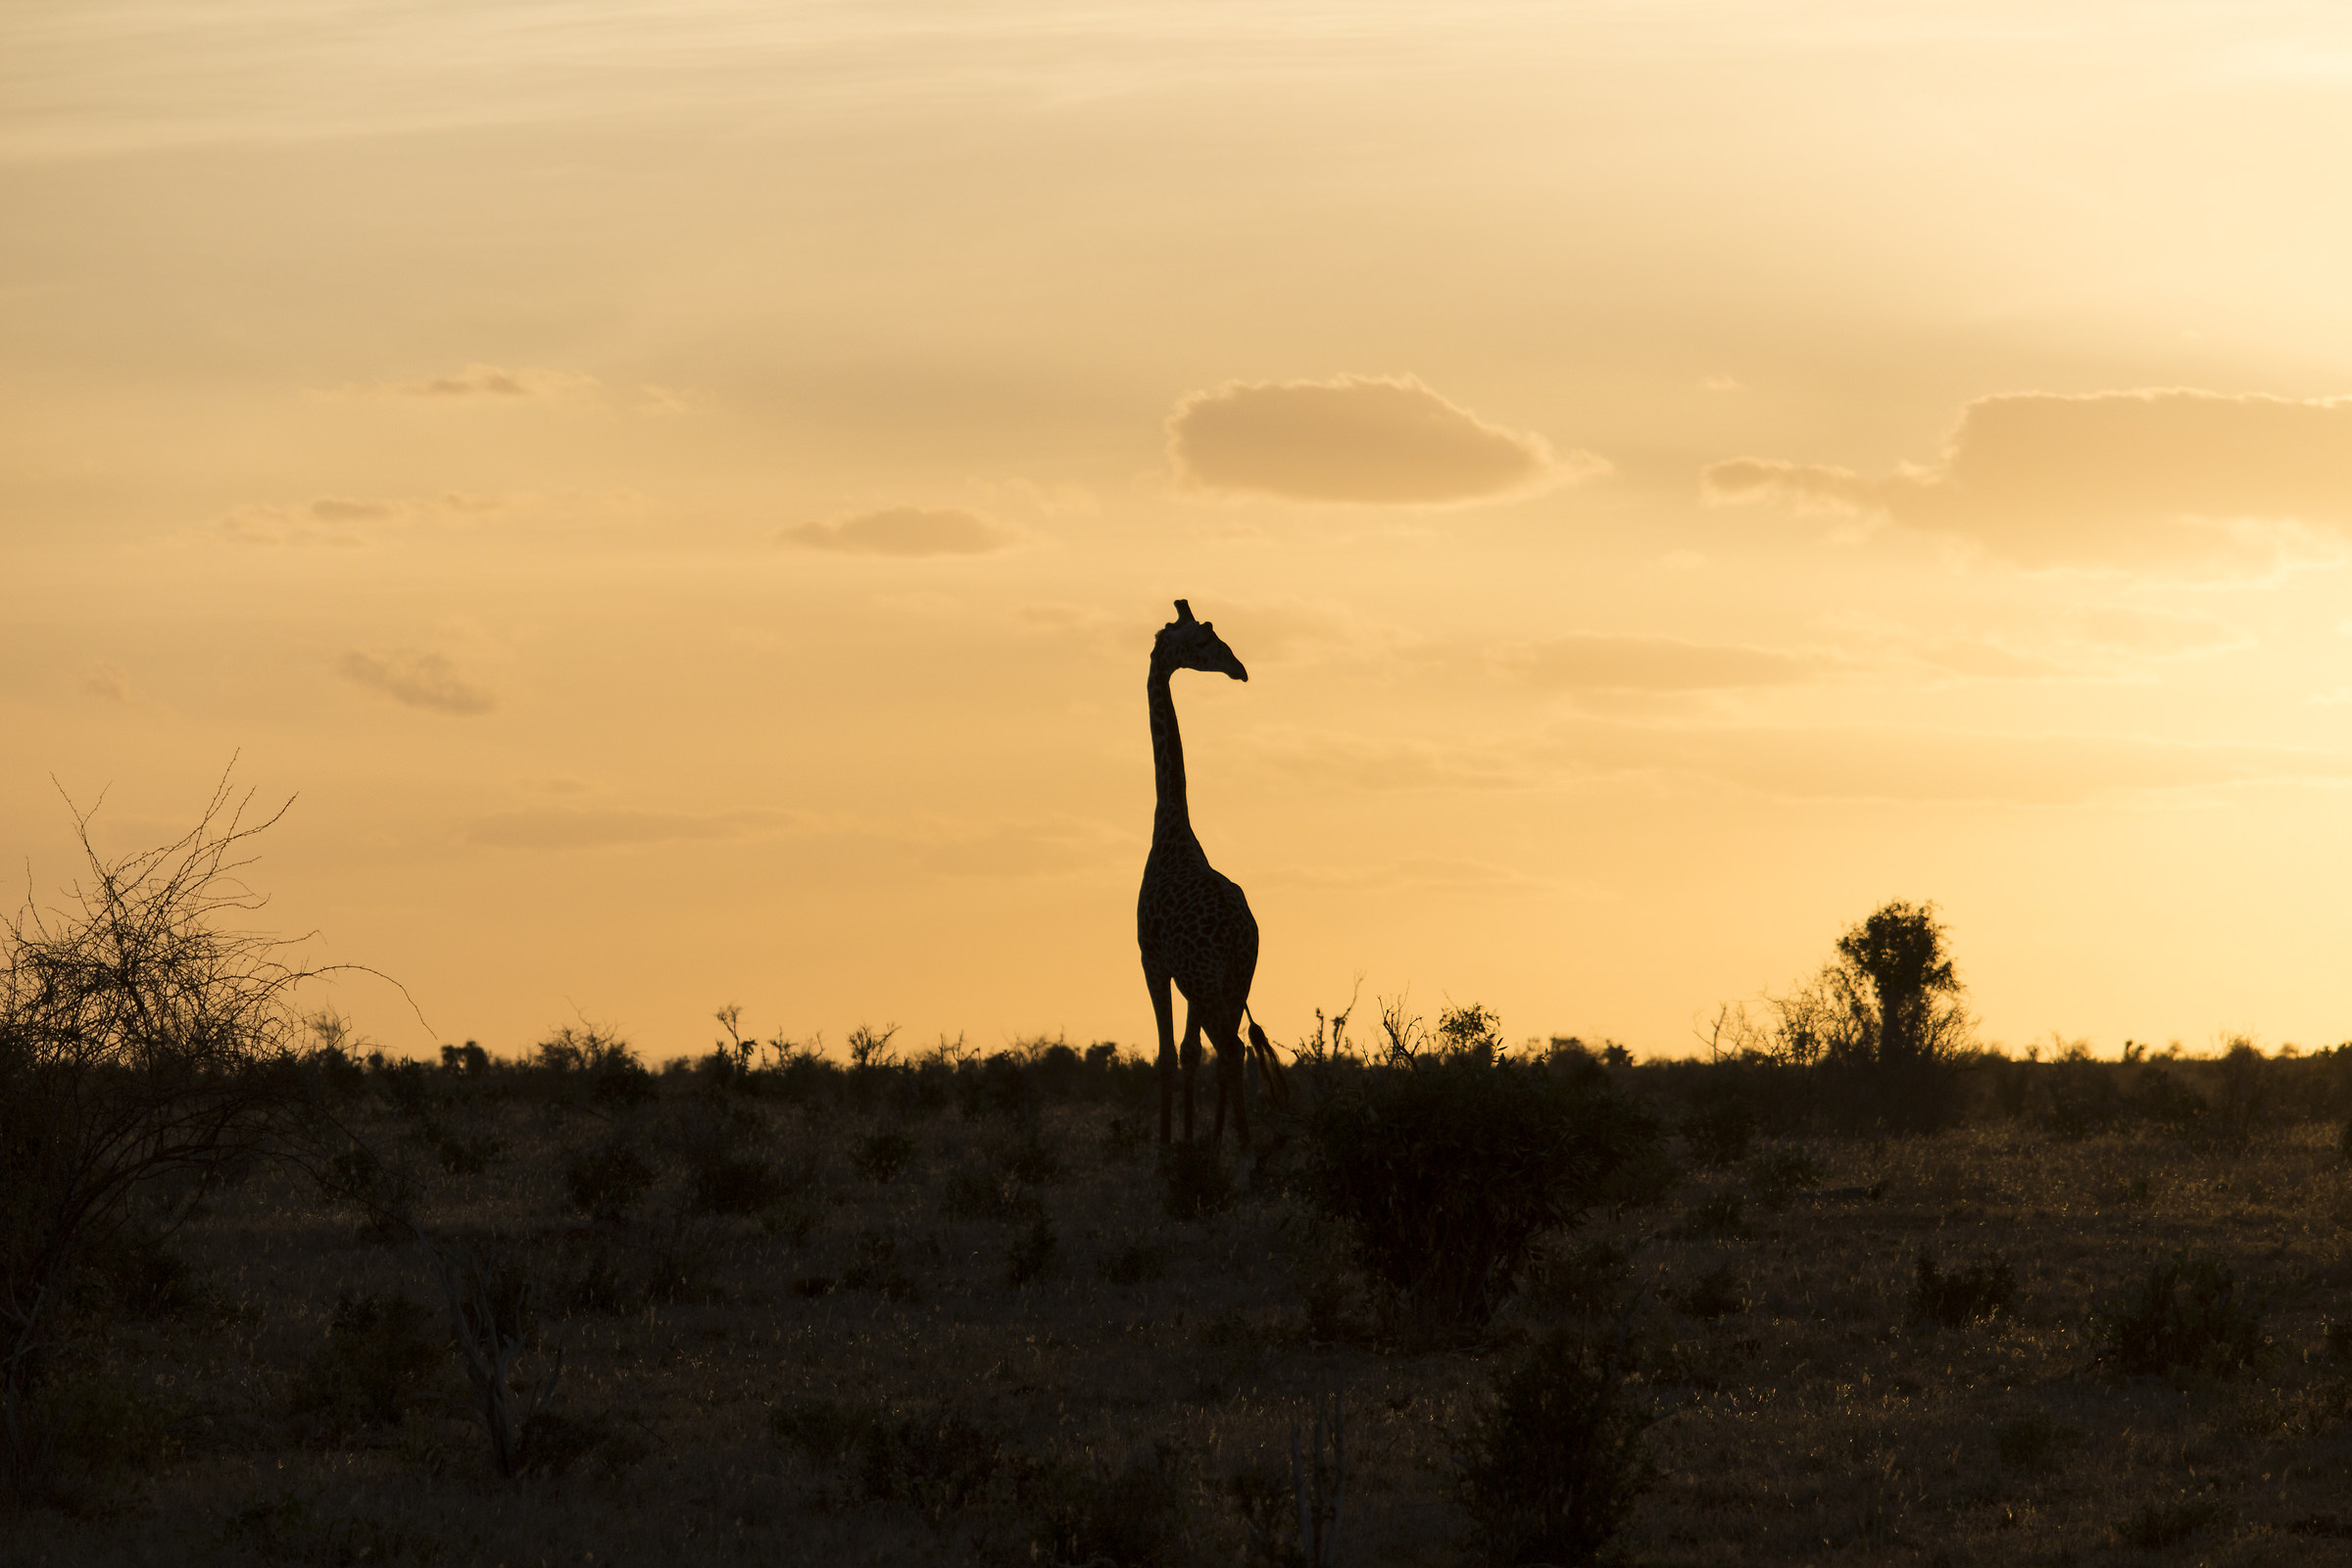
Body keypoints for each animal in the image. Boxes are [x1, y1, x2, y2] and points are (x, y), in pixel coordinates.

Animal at [1137, 600, 1282, 1147]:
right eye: (1204, 642)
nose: (1238, 668)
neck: (1171, 830)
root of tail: (1239, 930)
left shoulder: (1153, 960)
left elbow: (1166, 1057)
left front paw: (1164, 1147)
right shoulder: (1180, 972)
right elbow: (1188, 1053)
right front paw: (1191, 1143)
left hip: (1205, 978)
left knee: (1232, 1047)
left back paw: (1240, 1146)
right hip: (1237, 976)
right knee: (1231, 1049)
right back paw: (1234, 1146)